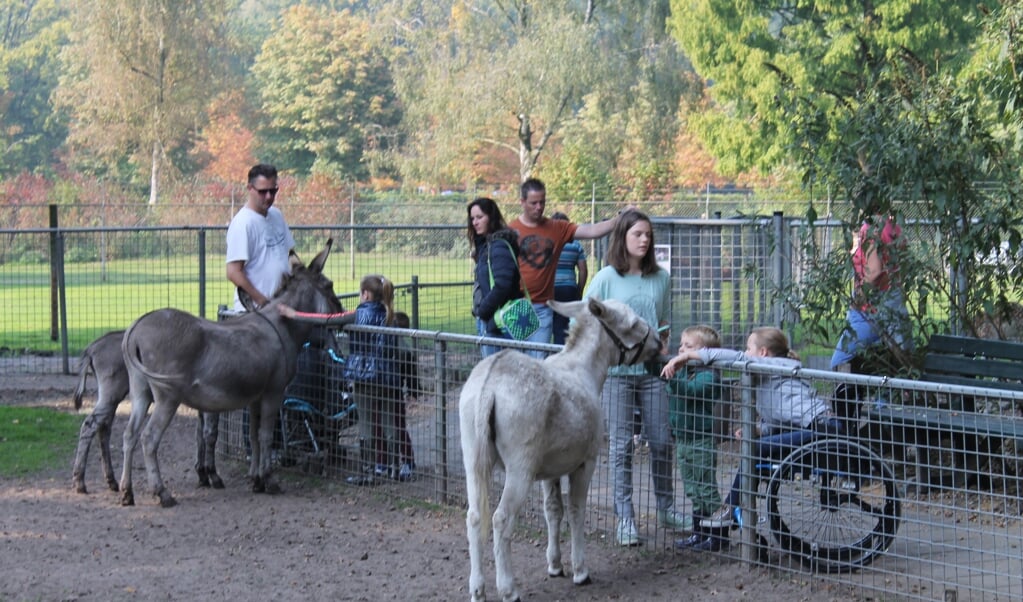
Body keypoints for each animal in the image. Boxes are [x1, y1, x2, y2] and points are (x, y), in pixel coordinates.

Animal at [460, 298, 658, 597]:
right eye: (633, 323)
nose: (659, 340)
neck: (587, 371)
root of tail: (488, 388)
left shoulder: (549, 469)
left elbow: (552, 510)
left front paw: (555, 565)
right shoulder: (585, 461)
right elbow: (576, 511)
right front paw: (580, 570)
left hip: (472, 456)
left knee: (474, 517)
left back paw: (477, 590)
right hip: (520, 466)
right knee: (500, 518)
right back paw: (508, 589)